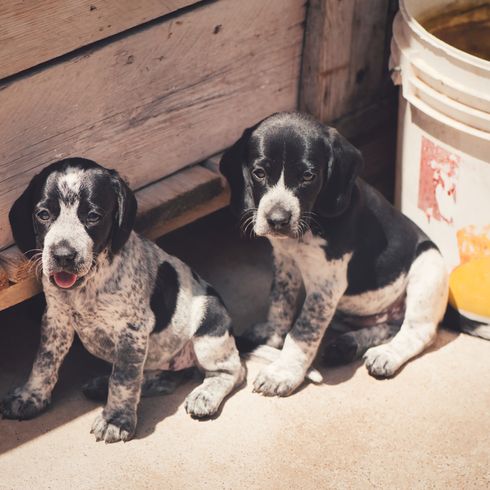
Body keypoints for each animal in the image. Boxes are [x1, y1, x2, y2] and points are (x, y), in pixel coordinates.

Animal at [0, 159, 245, 442]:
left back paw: (205, 395)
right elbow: (44, 361)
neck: (87, 285)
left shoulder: (132, 331)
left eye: (93, 216)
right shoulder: (56, 320)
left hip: (210, 327)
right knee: (163, 379)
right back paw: (103, 385)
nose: (63, 256)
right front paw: (31, 396)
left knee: (232, 371)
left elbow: (124, 379)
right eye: (43, 214)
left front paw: (116, 419)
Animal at [220, 113, 450, 396]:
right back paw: (348, 345)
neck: (309, 226)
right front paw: (272, 334)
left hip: (428, 266)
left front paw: (283, 372)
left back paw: (385, 355)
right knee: (388, 326)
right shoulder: (285, 263)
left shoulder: (326, 286)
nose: (277, 220)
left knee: (418, 331)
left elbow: (302, 332)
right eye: (259, 173)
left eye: (308, 176)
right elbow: (280, 302)